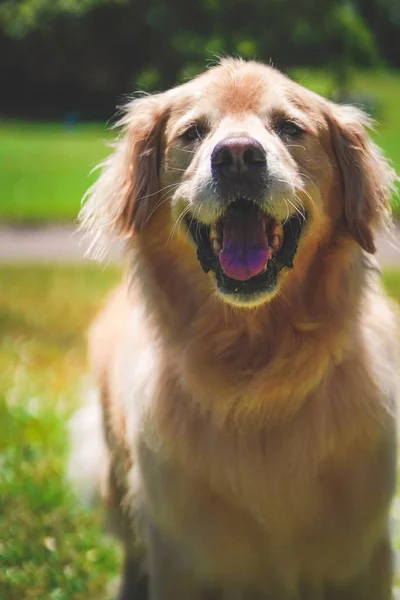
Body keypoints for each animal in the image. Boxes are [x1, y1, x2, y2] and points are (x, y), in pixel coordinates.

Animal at [70, 57, 398, 600]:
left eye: (289, 128)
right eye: (193, 133)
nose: (238, 156)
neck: (254, 370)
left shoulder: (358, 559)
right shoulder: (180, 558)